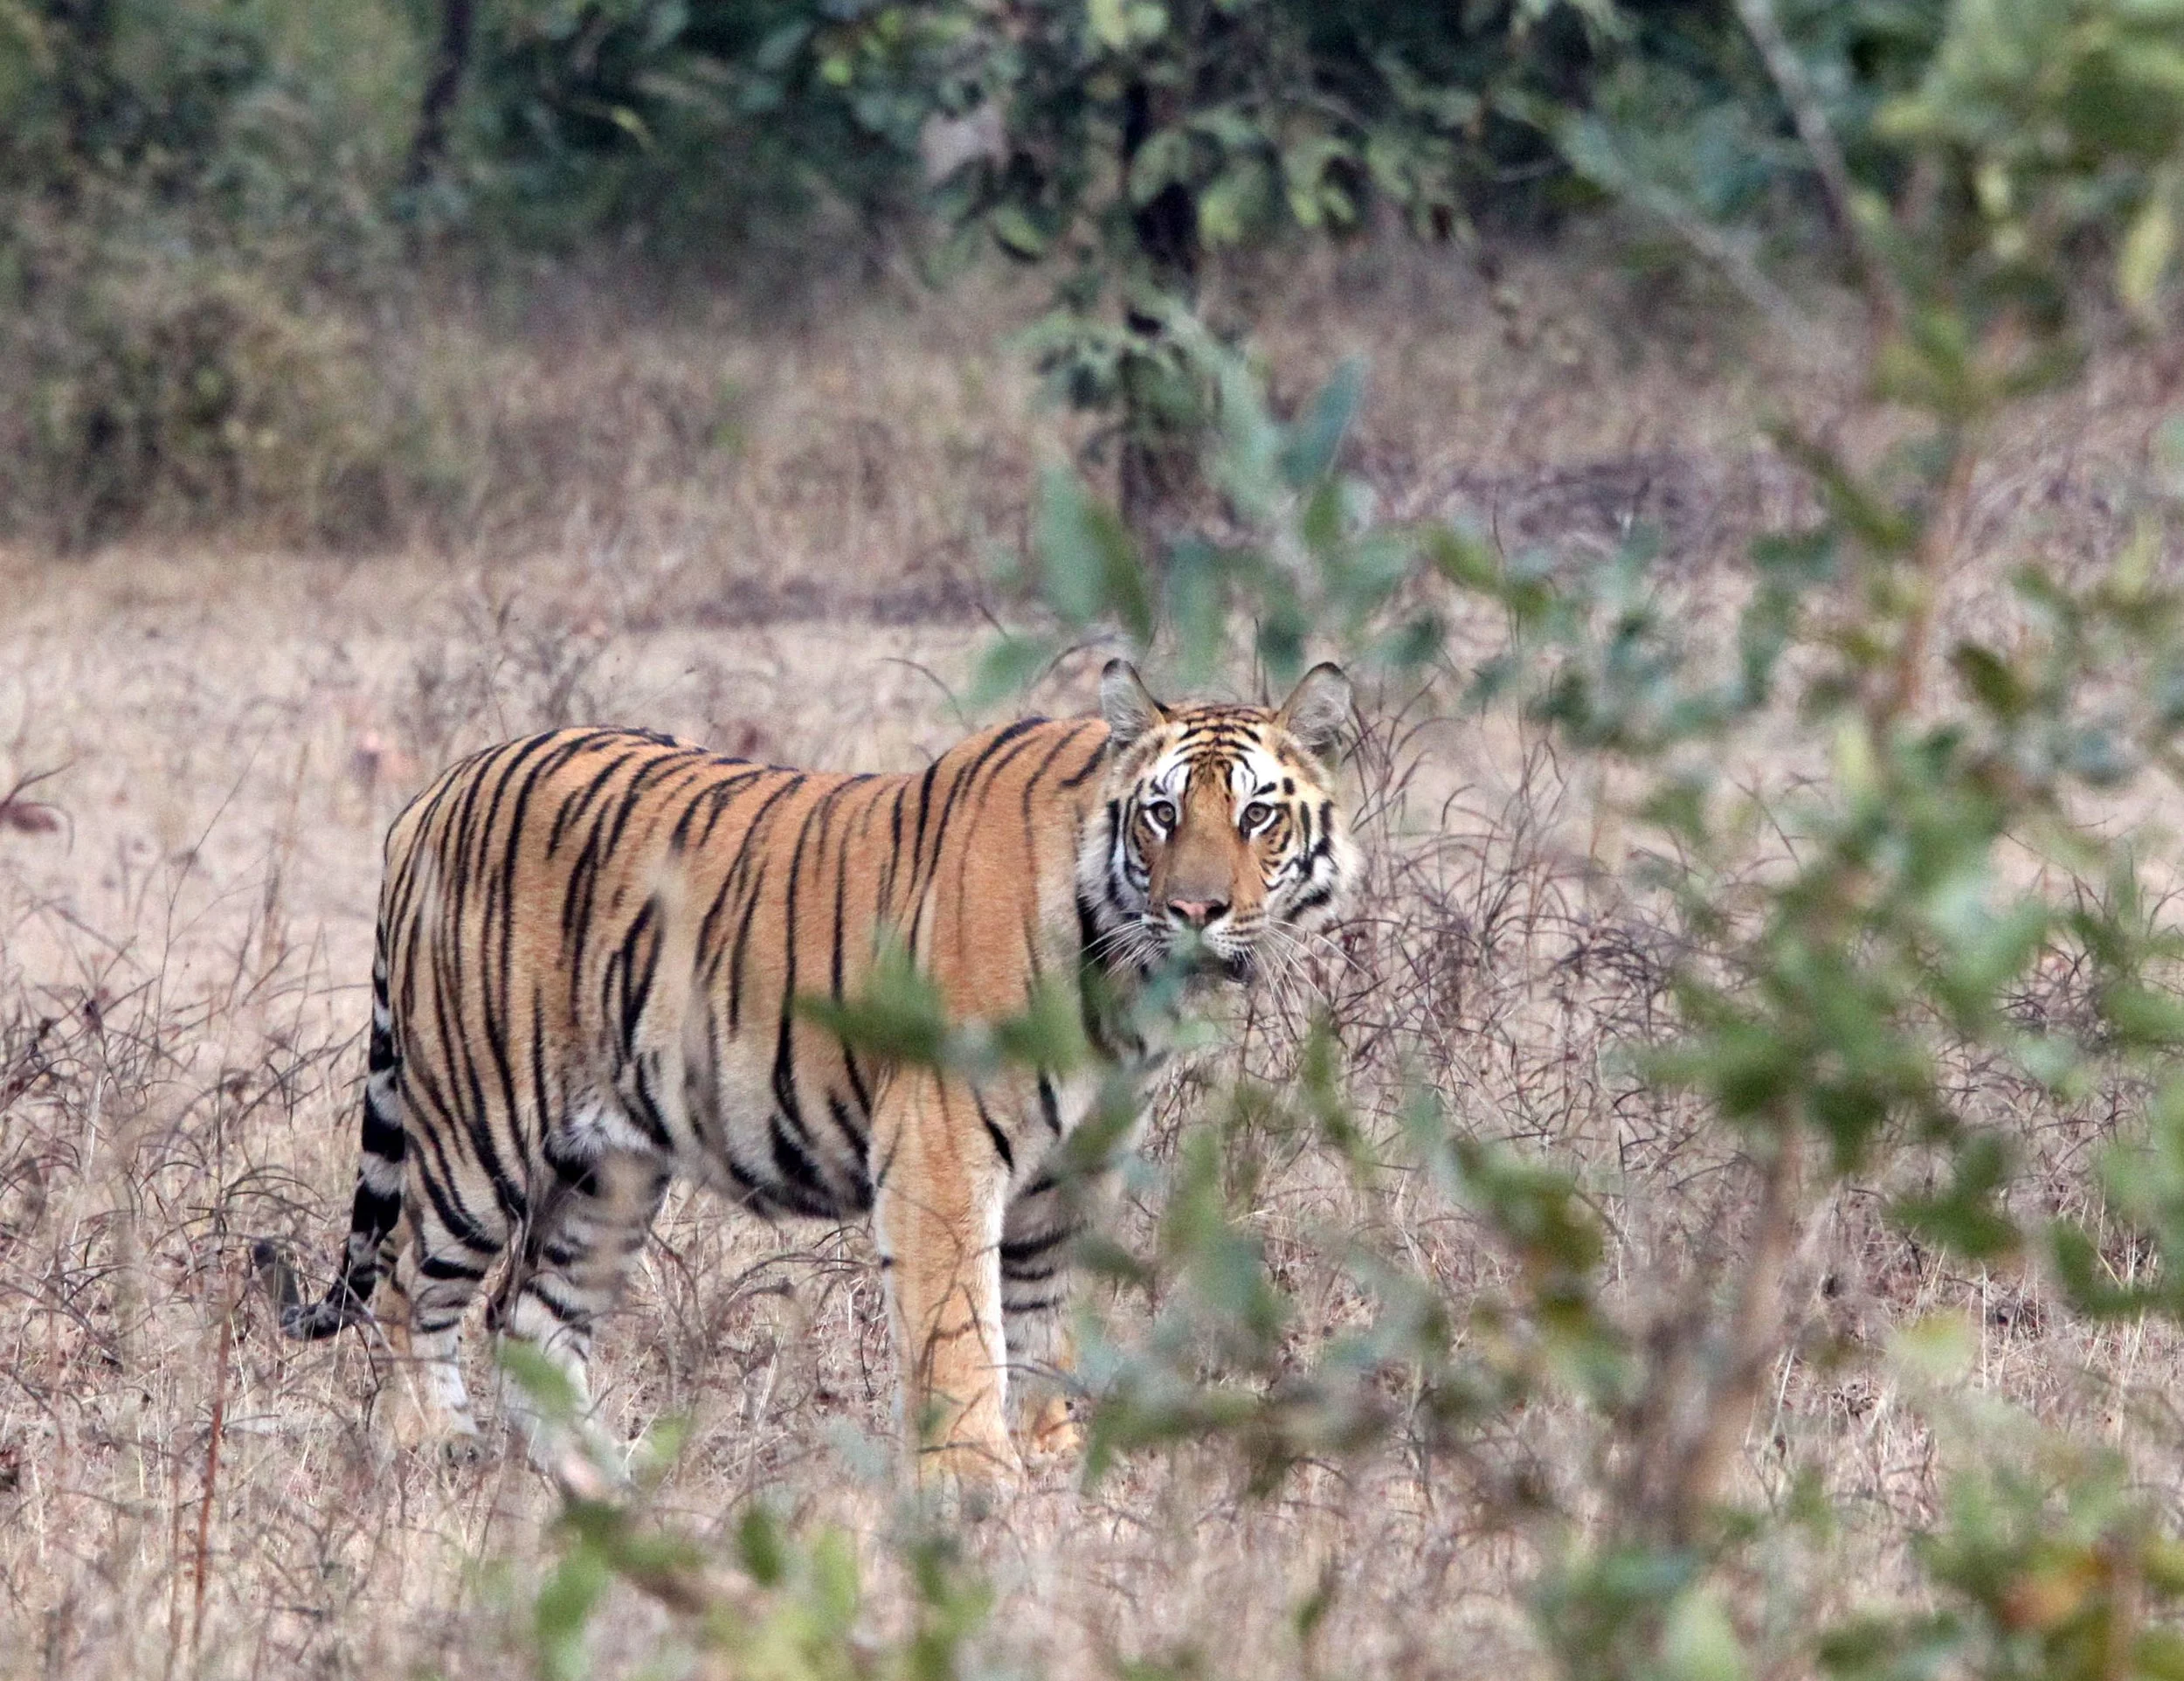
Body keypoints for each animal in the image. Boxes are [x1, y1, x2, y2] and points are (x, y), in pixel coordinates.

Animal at [259, 658, 1356, 1482]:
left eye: (1257, 817)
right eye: (1162, 816)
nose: (1196, 911)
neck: (1123, 979)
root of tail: (430, 795)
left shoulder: (1067, 1176)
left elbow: (1041, 1331)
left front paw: (1052, 1468)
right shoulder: (941, 1154)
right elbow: (962, 1336)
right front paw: (980, 1487)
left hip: (606, 1171)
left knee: (528, 1318)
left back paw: (607, 1489)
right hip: (477, 1133)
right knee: (410, 1288)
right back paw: (437, 1450)